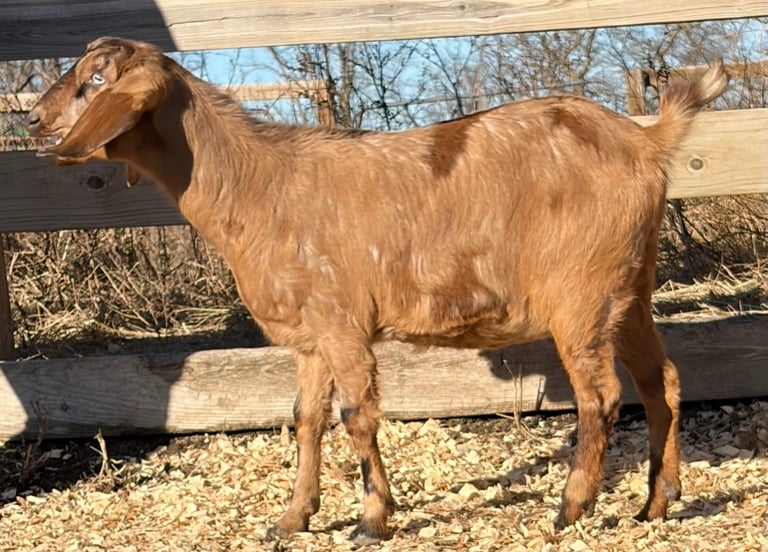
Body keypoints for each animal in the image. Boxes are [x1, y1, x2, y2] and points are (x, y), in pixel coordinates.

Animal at [28, 37, 728, 544]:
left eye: (96, 81)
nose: (33, 118)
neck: (257, 185)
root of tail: (645, 139)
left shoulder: (341, 321)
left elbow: (356, 417)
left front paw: (371, 519)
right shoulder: (309, 337)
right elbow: (305, 420)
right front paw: (293, 518)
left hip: (580, 291)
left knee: (601, 396)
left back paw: (572, 506)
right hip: (628, 289)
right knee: (660, 380)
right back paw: (657, 503)